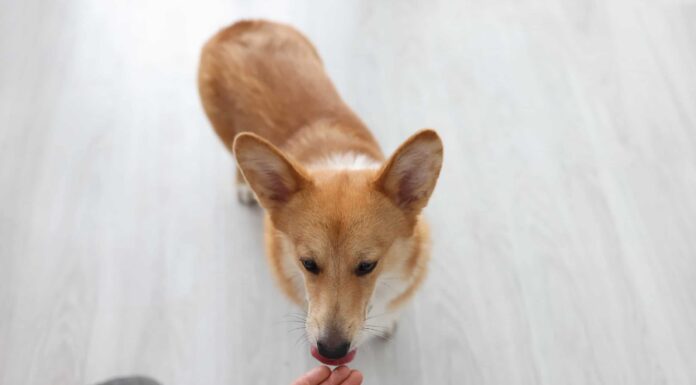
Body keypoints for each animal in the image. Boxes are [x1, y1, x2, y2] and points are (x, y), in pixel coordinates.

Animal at [198, 19, 444, 364]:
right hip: (226, 133)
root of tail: (238, 26)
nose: (331, 350)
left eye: (367, 266)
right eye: (308, 264)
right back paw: (244, 186)